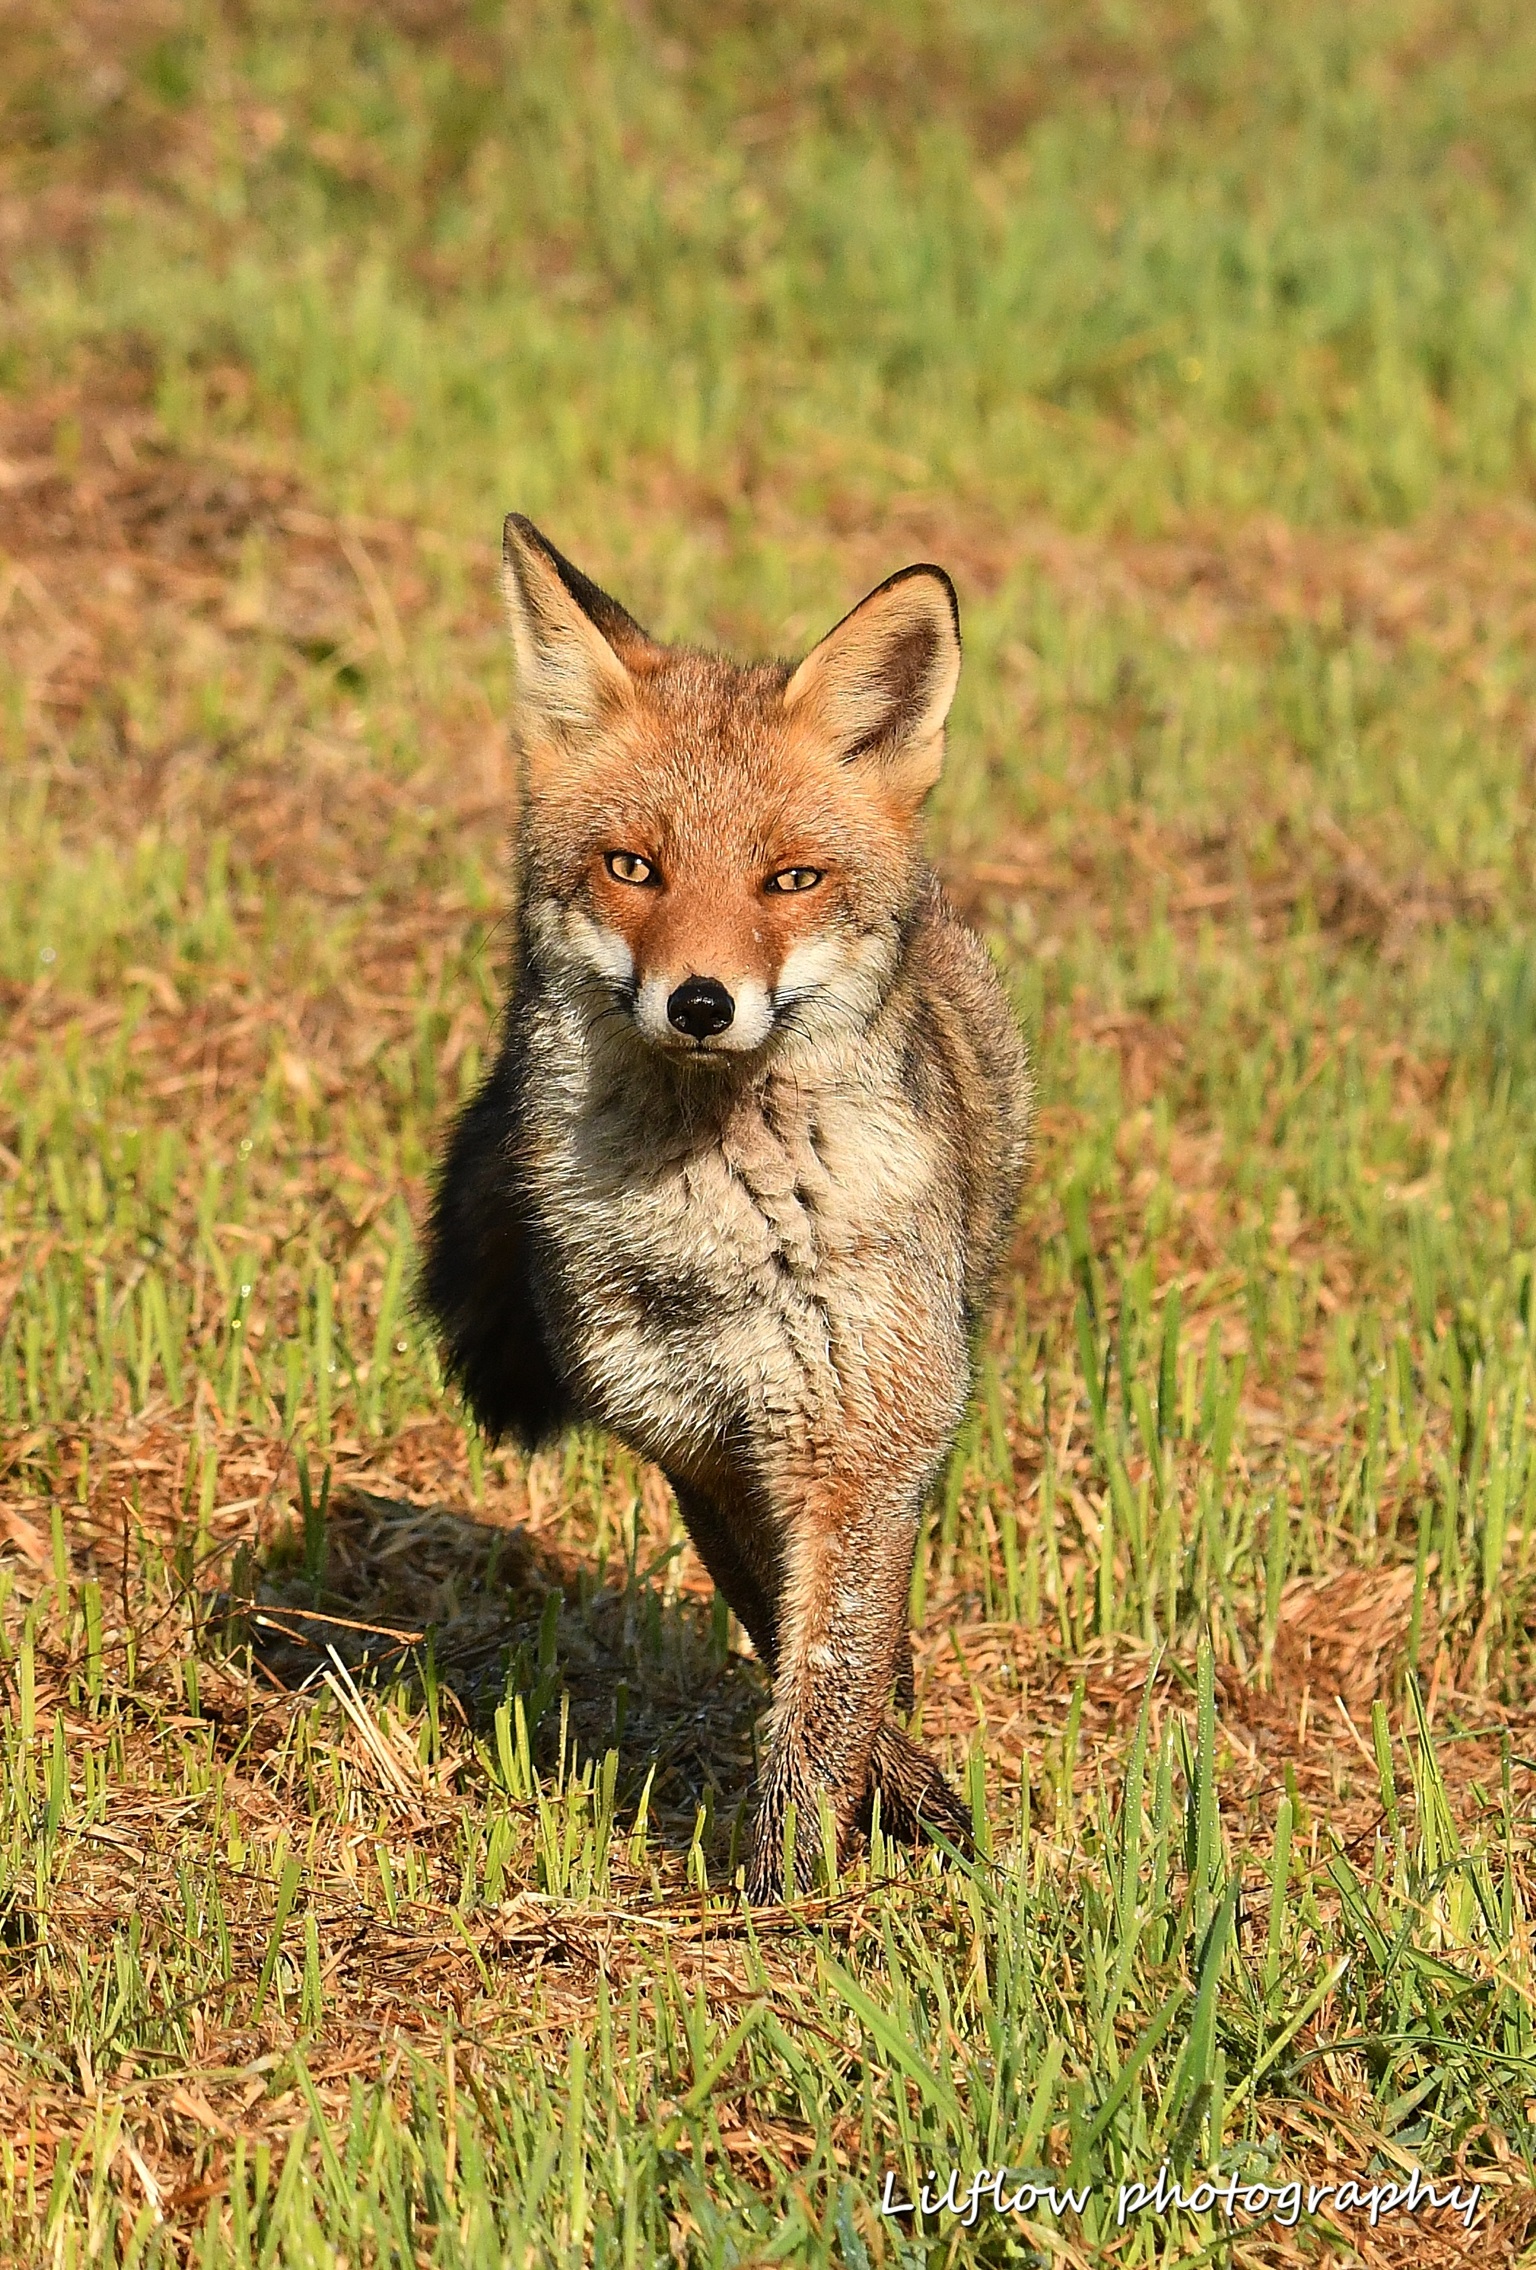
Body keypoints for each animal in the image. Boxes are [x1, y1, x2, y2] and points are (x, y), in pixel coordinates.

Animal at [423, 515, 1033, 1901]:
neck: (717, 1231)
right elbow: (780, 1636)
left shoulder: (860, 1446)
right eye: (631, 867)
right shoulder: (700, 1442)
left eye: (789, 878)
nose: (701, 1002)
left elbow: (831, 1675)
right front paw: (857, 1835)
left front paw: (793, 1895)